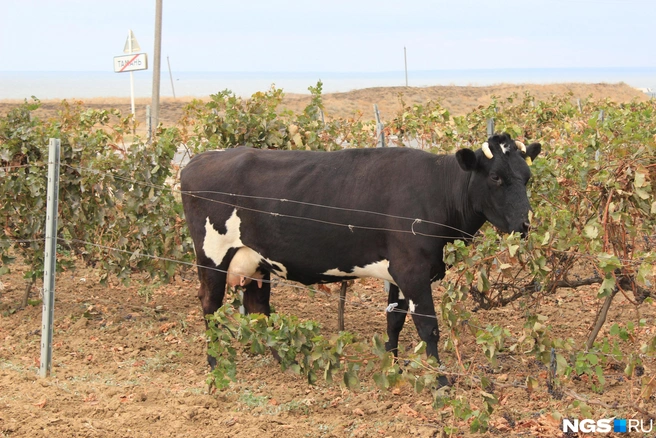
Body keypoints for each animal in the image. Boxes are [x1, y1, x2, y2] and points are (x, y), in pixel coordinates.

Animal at [180, 133, 541, 382]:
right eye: (495, 177)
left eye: (527, 177)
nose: (525, 224)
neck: (436, 191)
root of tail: (198, 160)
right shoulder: (413, 269)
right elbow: (428, 326)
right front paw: (439, 379)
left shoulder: (398, 271)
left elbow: (394, 320)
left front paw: (393, 366)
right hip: (212, 255)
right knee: (210, 304)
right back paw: (215, 363)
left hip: (256, 261)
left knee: (258, 307)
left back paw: (284, 361)